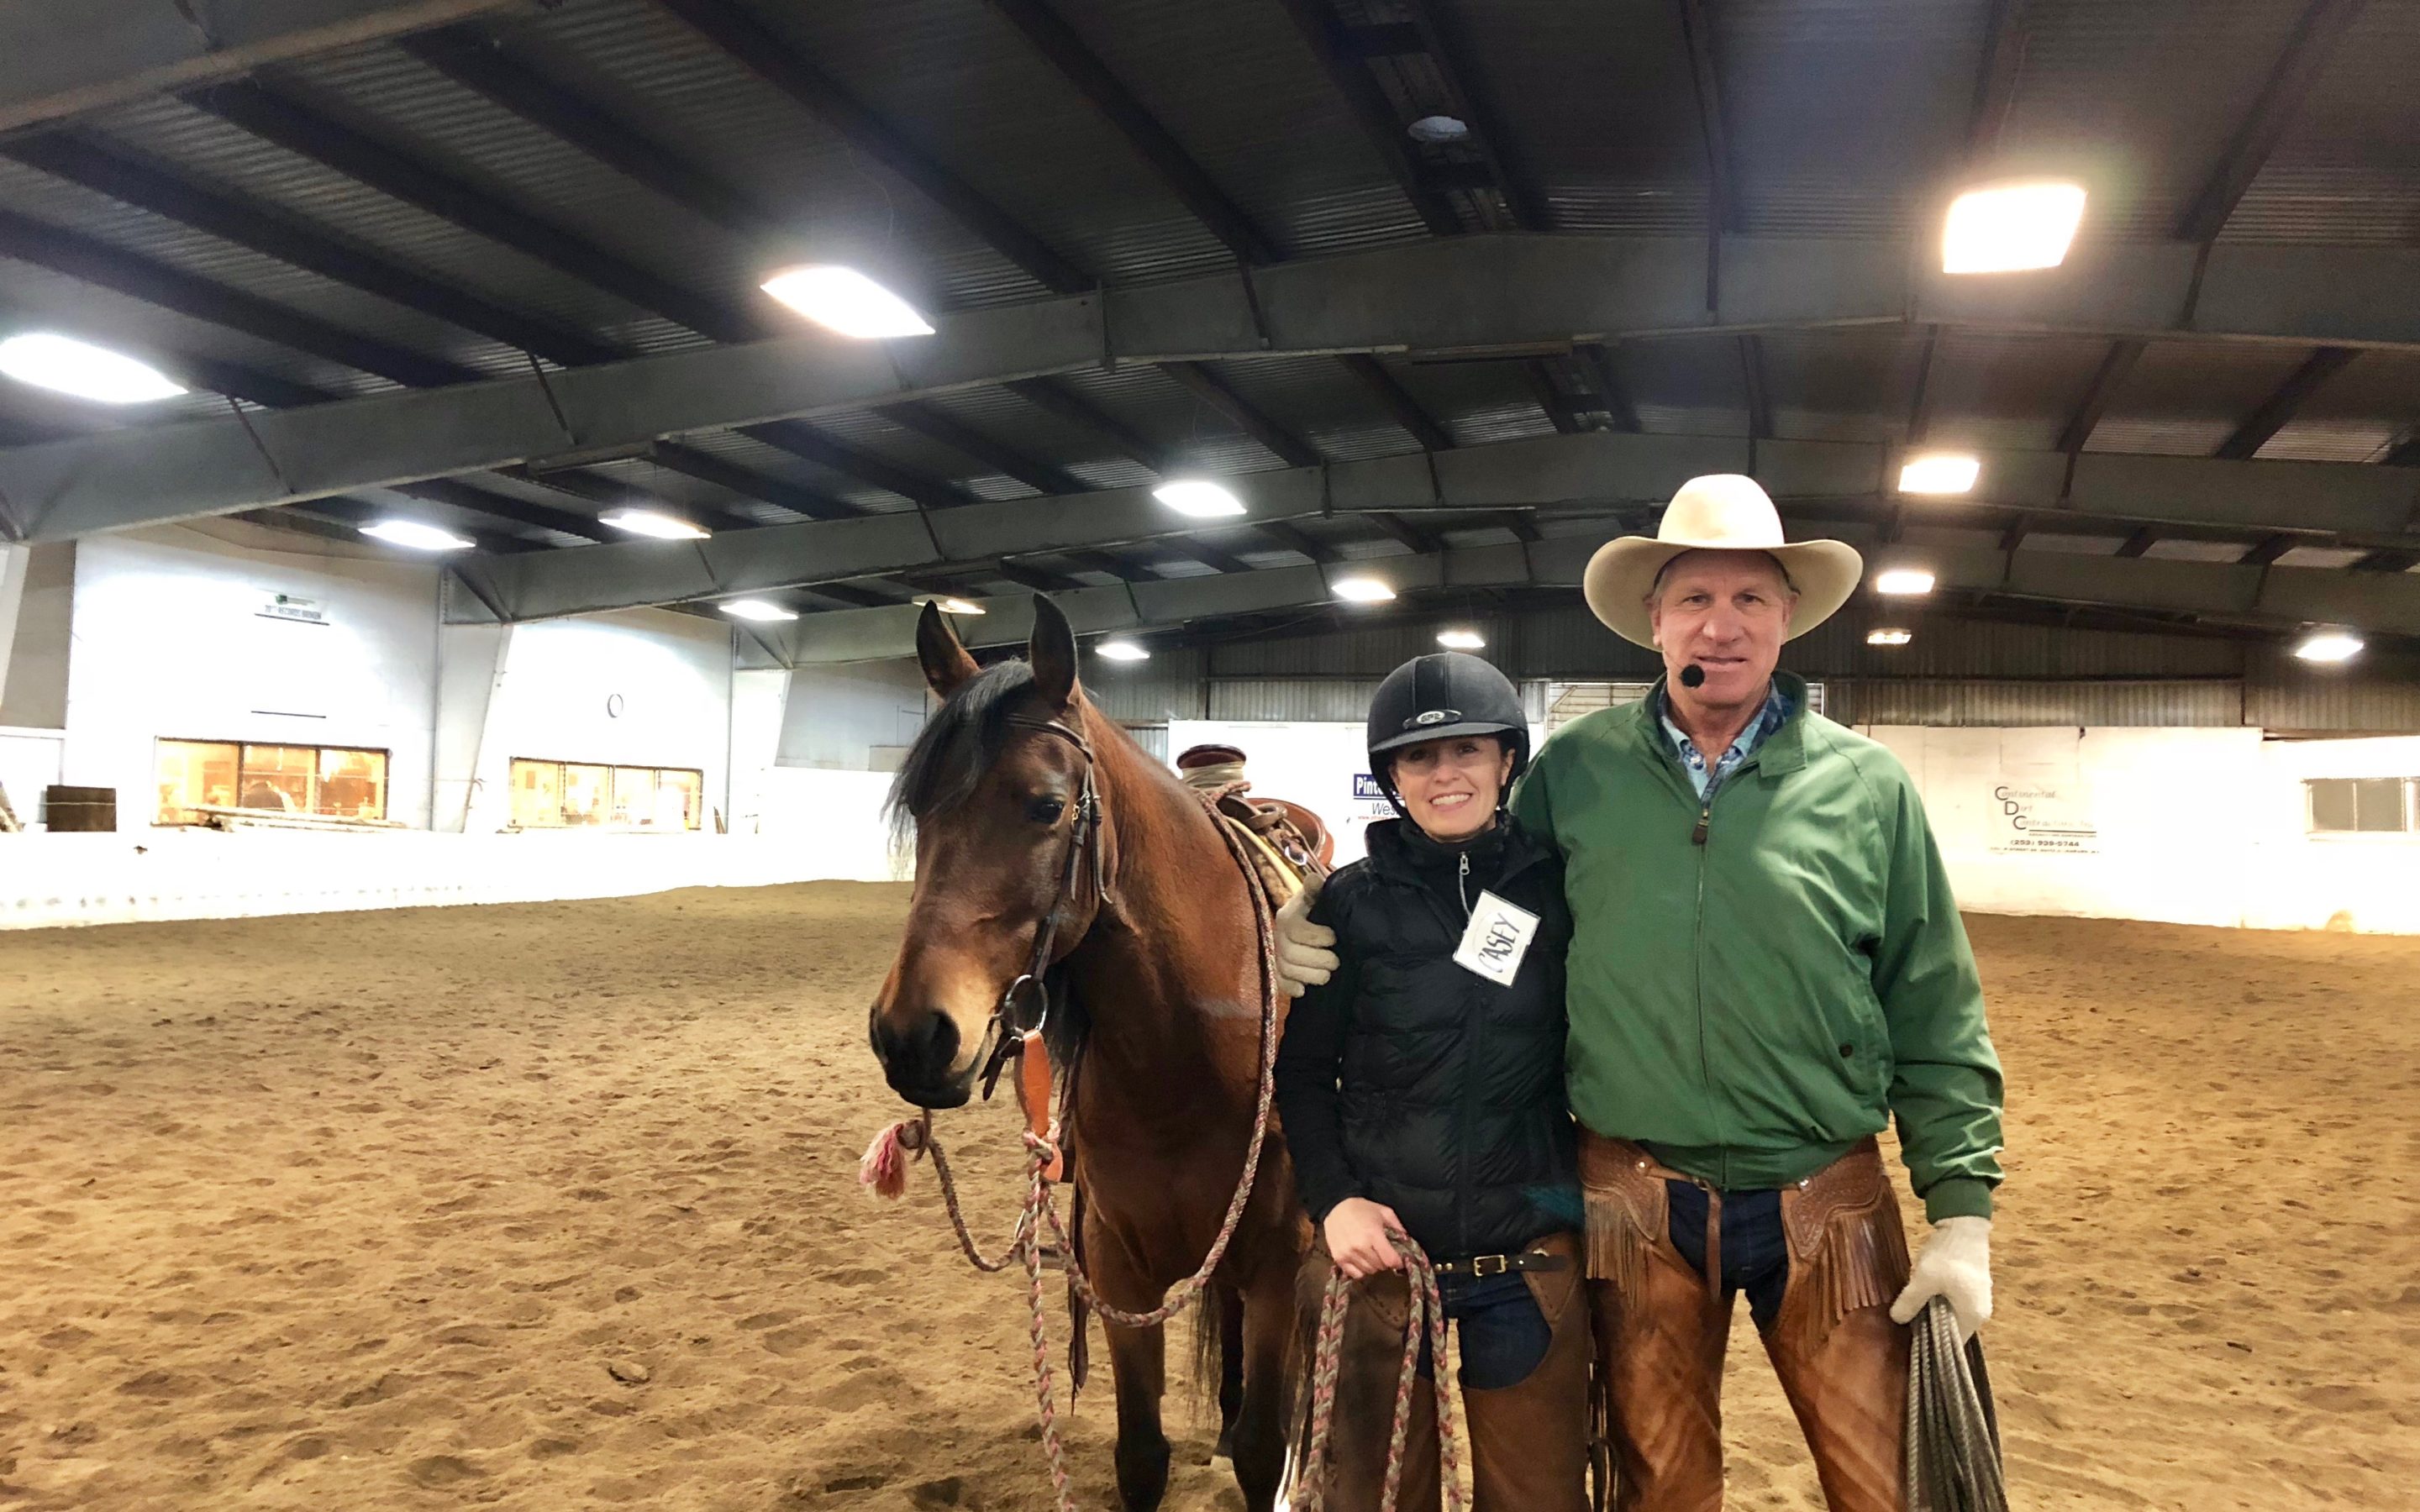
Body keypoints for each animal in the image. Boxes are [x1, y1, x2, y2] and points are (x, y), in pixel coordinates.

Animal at [871, 595, 1316, 1509]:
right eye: (920, 811)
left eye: (1045, 806)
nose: (910, 1035)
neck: (1185, 1051)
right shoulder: (1118, 1268)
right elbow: (1140, 1454)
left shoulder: (1277, 1263)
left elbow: (1264, 1450)